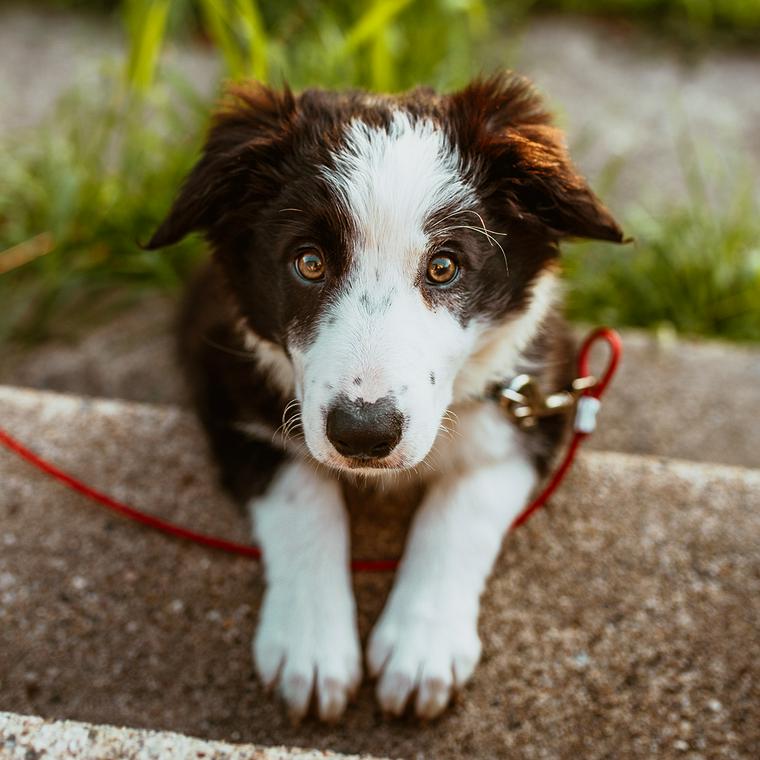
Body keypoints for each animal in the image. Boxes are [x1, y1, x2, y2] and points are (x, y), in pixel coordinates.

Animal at [145, 72, 620, 724]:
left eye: (444, 267)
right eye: (308, 263)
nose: (363, 435)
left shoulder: (537, 393)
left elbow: (463, 507)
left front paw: (421, 648)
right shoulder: (223, 376)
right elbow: (301, 493)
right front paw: (311, 647)